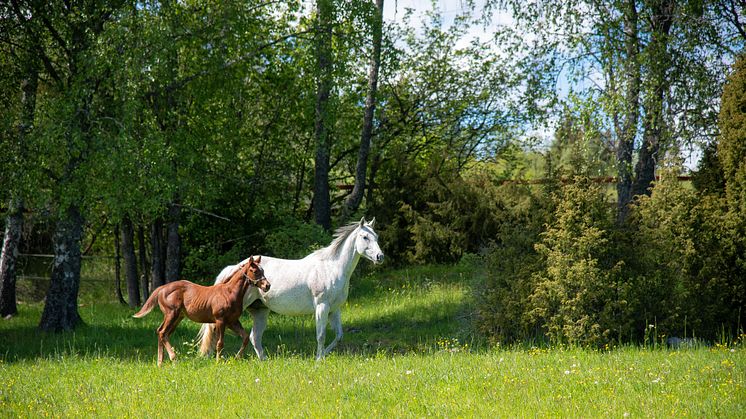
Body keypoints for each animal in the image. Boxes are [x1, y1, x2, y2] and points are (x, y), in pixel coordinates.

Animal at [135, 254, 268, 366]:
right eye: (255, 271)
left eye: (263, 271)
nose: (267, 286)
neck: (230, 293)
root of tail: (162, 288)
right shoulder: (220, 320)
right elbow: (220, 343)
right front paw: (218, 362)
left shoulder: (232, 321)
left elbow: (245, 337)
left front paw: (237, 358)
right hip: (171, 314)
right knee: (162, 332)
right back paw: (173, 358)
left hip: (177, 317)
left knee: (161, 332)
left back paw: (160, 363)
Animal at [196, 218, 384, 360]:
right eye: (365, 237)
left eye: (376, 236)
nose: (380, 257)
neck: (331, 268)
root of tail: (236, 267)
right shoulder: (322, 307)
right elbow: (321, 335)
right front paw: (318, 360)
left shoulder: (334, 310)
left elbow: (338, 336)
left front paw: (322, 356)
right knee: (218, 330)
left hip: (260, 311)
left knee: (254, 337)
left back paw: (264, 361)